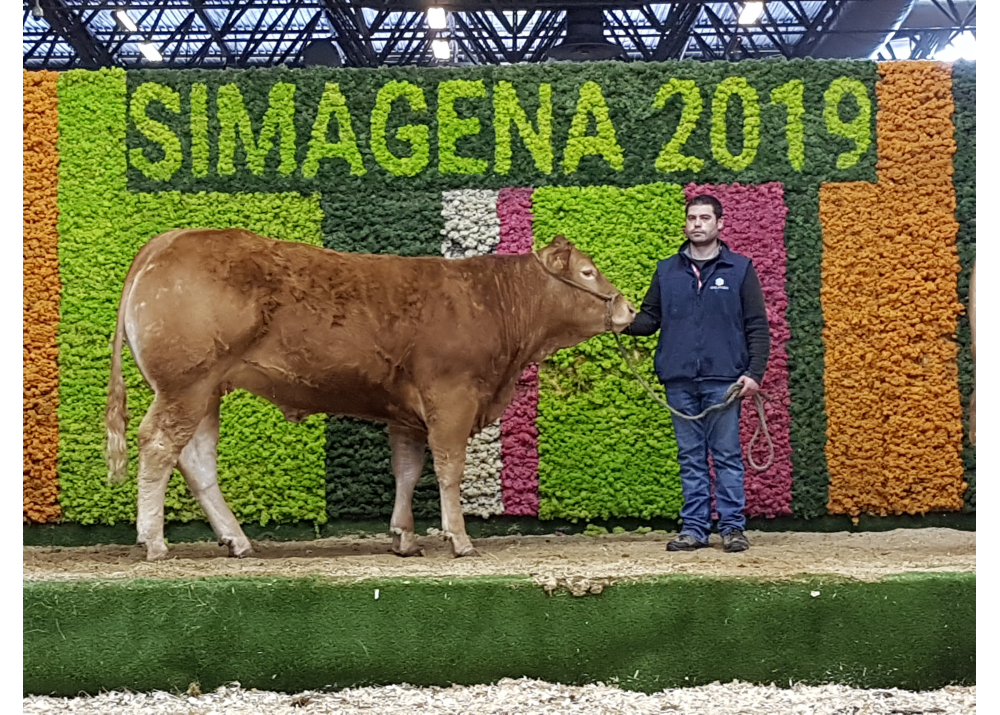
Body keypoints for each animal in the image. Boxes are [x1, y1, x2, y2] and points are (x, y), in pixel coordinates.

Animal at [105, 229, 636, 560]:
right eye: (588, 273)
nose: (629, 308)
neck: (492, 303)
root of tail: (168, 240)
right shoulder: (452, 398)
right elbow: (448, 470)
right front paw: (459, 538)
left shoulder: (406, 413)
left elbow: (408, 470)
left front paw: (404, 536)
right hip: (185, 384)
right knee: (158, 446)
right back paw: (154, 541)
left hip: (206, 390)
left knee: (196, 460)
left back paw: (236, 540)